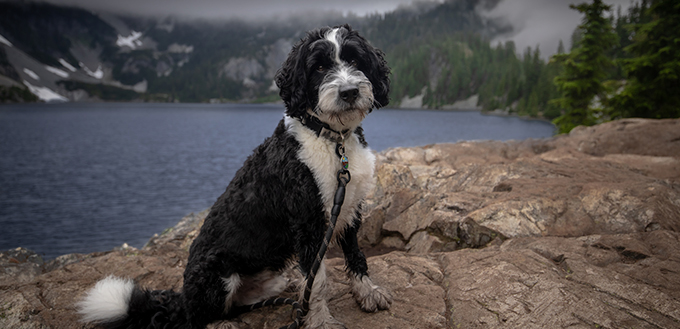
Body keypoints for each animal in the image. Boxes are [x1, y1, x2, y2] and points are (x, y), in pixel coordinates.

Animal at [77, 23, 390, 328]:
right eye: (320, 67)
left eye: (354, 60)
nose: (349, 92)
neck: (333, 140)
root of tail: (182, 297)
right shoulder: (309, 221)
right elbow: (317, 281)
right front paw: (322, 321)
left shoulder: (350, 207)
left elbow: (355, 255)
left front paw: (367, 292)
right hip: (215, 273)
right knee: (197, 317)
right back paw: (220, 323)